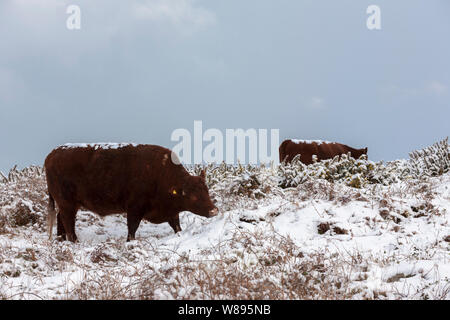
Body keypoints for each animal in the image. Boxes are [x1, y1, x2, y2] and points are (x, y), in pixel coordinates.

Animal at [44, 143, 218, 242]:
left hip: (67, 204)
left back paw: (61, 241)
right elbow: (132, 228)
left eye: (206, 190)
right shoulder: (134, 209)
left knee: (60, 219)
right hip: (68, 204)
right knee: (68, 222)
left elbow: (177, 226)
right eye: (193, 195)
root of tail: (51, 156)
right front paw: (130, 242)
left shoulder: (171, 213)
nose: (214, 210)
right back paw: (74, 242)